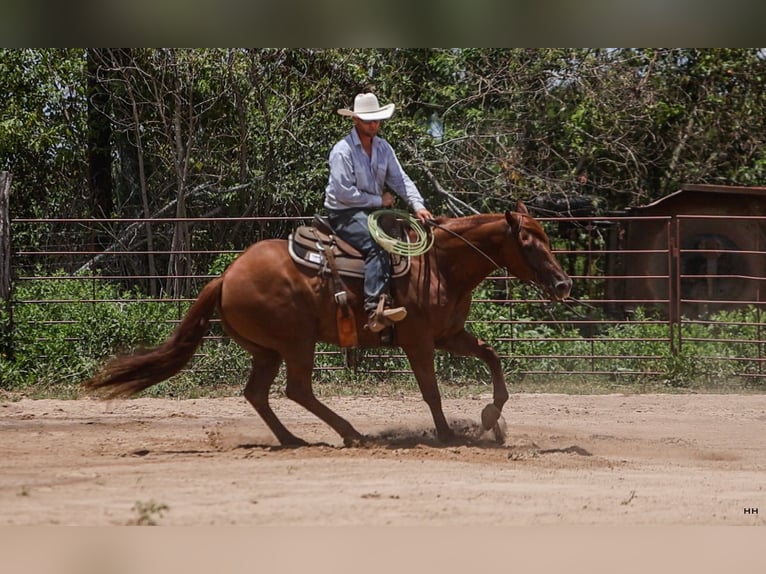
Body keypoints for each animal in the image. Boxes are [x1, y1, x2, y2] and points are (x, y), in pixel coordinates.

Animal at [84, 202, 568, 446]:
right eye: (529, 242)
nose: (563, 284)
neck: (439, 266)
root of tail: (226, 276)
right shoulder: (418, 341)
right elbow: (431, 390)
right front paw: (448, 434)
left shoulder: (449, 335)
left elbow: (492, 356)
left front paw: (489, 417)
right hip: (297, 343)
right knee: (297, 389)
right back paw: (351, 434)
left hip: (267, 350)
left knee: (258, 393)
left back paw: (295, 440)